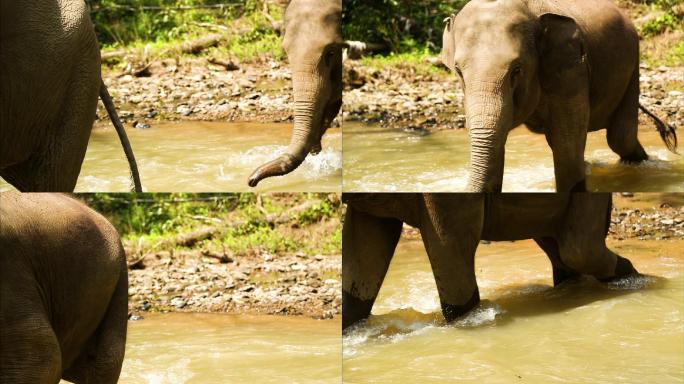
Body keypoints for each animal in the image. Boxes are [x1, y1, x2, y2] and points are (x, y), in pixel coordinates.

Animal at [440, 0, 676, 192]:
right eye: (458, 71)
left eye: (517, 69)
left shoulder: (570, 69)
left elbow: (566, 149)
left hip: (632, 64)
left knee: (620, 137)